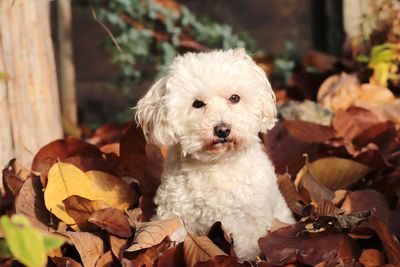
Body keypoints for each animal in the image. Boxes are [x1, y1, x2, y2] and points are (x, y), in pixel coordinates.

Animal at [136, 48, 296, 262]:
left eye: (235, 98)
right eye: (197, 103)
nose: (222, 130)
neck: (216, 164)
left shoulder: (247, 224)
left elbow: (247, 247)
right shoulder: (174, 214)